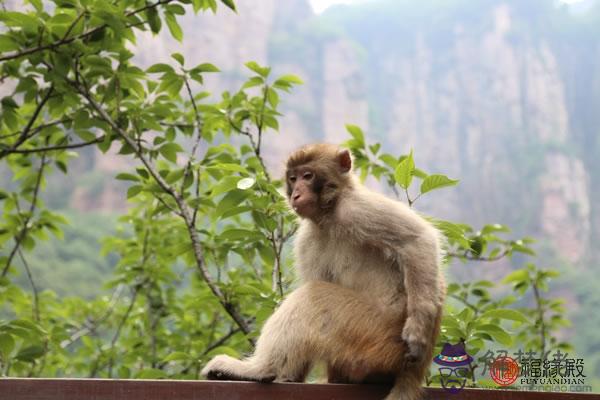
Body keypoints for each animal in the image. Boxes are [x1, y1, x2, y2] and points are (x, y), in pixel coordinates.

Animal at [202, 144, 446, 400]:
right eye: (293, 179)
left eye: (308, 176)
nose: (296, 194)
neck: (330, 213)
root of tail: (411, 373)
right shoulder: (308, 238)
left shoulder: (358, 208)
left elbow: (417, 240)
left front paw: (417, 333)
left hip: (375, 336)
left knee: (313, 298)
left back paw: (260, 369)